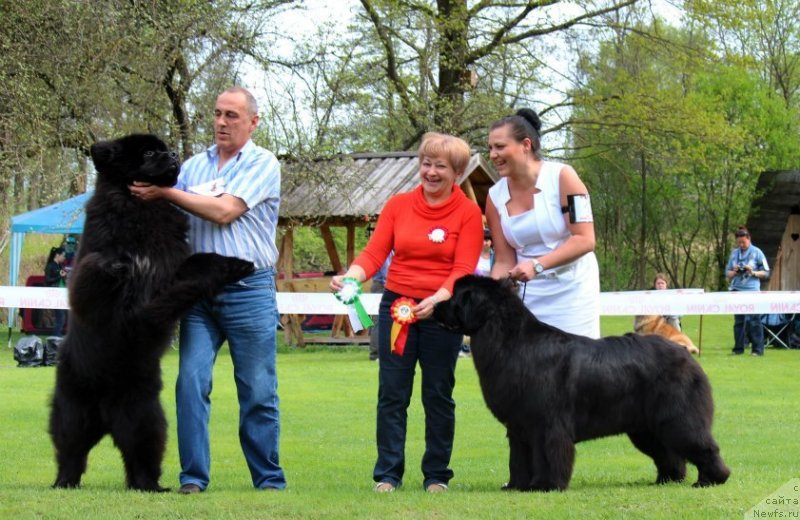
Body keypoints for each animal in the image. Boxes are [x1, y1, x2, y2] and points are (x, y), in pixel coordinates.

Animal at [49, 135, 253, 492]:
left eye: (163, 147)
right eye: (147, 152)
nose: (172, 154)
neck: (141, 209)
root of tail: (106, 418)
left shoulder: (172, 269)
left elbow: (200, 264)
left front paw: (237, 264)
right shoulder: (86, 283)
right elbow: (95, 267)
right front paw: (118, 263)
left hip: (146, 419)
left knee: (140, 456)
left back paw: (151, 486)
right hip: (74, 412)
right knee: (71, 451)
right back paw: (64, 482)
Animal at [434, 276, 728, 492]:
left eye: (454, 297)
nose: (434, 306)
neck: (513, 343)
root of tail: (686, 355)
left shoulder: (546, 424)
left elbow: (546, 455)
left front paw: (546, 485)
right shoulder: (518, 426)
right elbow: (518, 459)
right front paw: (516, 486)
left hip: (679, 418)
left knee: (703, 446)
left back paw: (710, 480)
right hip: (646, 428)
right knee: (669, 454)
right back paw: (666, 480)